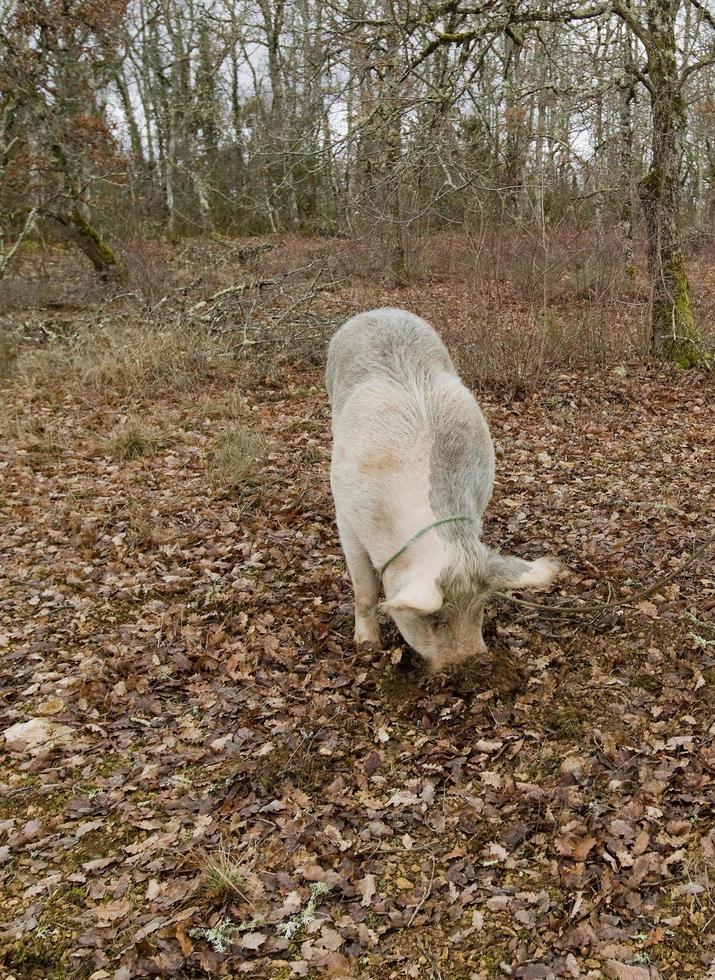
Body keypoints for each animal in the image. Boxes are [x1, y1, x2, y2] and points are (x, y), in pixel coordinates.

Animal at [326, 308, 560, 672]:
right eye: (435, 619)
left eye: (480, 607)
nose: (470, 662)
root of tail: (381, 311)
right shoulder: (347, 519)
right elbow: (364, 591)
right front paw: (367, 646)